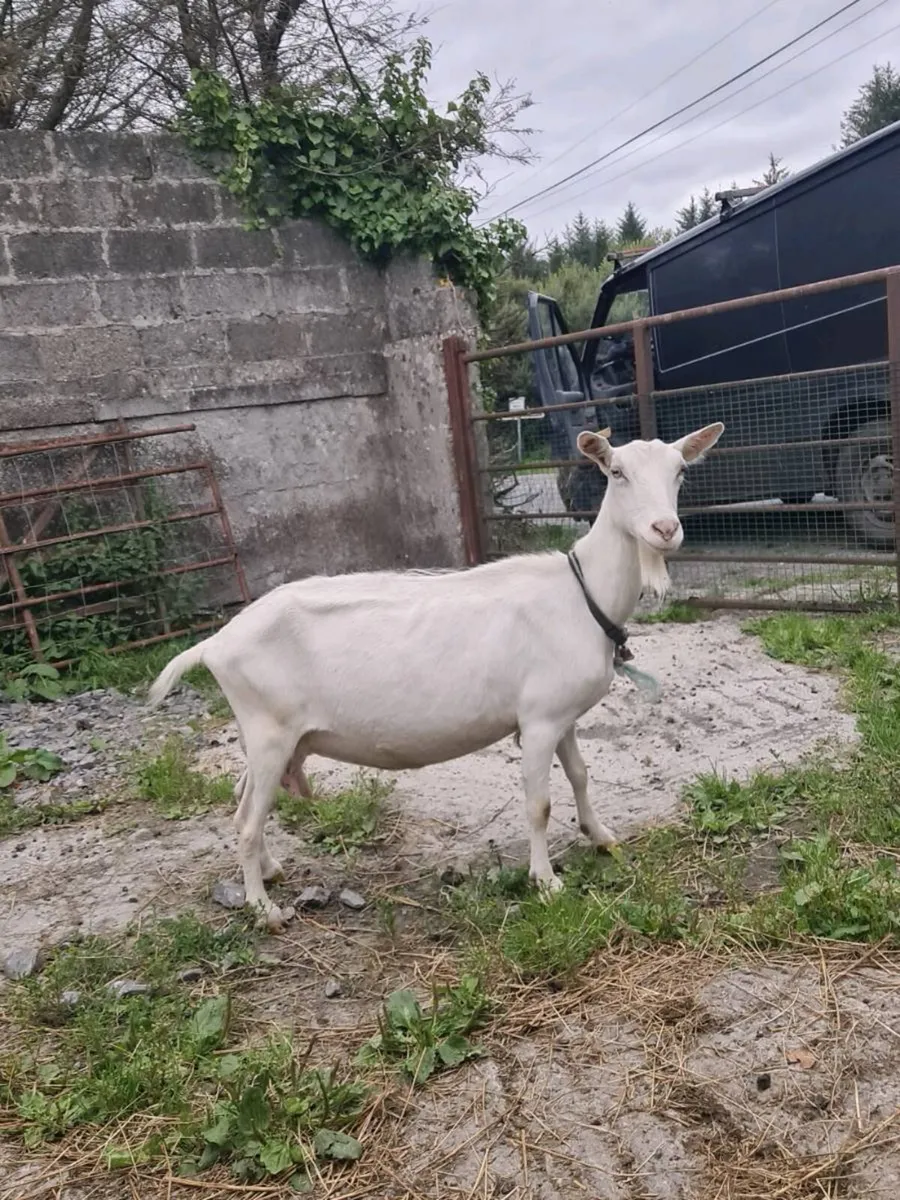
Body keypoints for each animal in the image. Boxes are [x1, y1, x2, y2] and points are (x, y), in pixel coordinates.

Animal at [149, 423, 724, 929]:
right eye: (617, 472)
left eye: (679, 471)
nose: (664, 530)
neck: (581, 595)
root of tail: (217, 643)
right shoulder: (538, 721)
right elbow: (538, 804)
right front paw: (546, 882)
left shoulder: (561, 714)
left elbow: (581, 776)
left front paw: (602, 836)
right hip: (269, 730)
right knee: (248, 820)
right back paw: (263, 908)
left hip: (265, 735)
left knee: (242, 800)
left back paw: (270, 871)